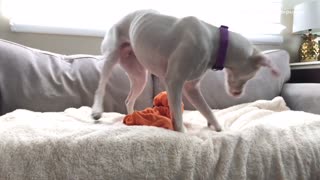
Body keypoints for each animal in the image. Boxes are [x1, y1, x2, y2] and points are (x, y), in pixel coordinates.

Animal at [91, 9, 278, 132]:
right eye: (250, 76)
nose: (238, 95)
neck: (215, 42)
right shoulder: (174, 83)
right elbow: (179, 118)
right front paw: (182, 133)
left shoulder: (191, 88)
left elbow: (207, 111)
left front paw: (219, 128)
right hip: (111, 57)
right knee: (101, 85)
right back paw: (97, 111)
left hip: (139, 76)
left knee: (129, 99)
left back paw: (132, 117)